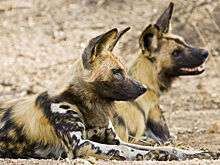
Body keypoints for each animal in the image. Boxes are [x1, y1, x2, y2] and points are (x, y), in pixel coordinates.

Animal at [0, 27, 218, 160]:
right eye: (116, 71)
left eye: (125, 69)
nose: (143, 88)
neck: (87, 105)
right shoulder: (78, 145)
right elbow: (125, 150)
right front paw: (151, 156)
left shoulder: (115, 138)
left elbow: (166, 146)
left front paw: (198, 153)